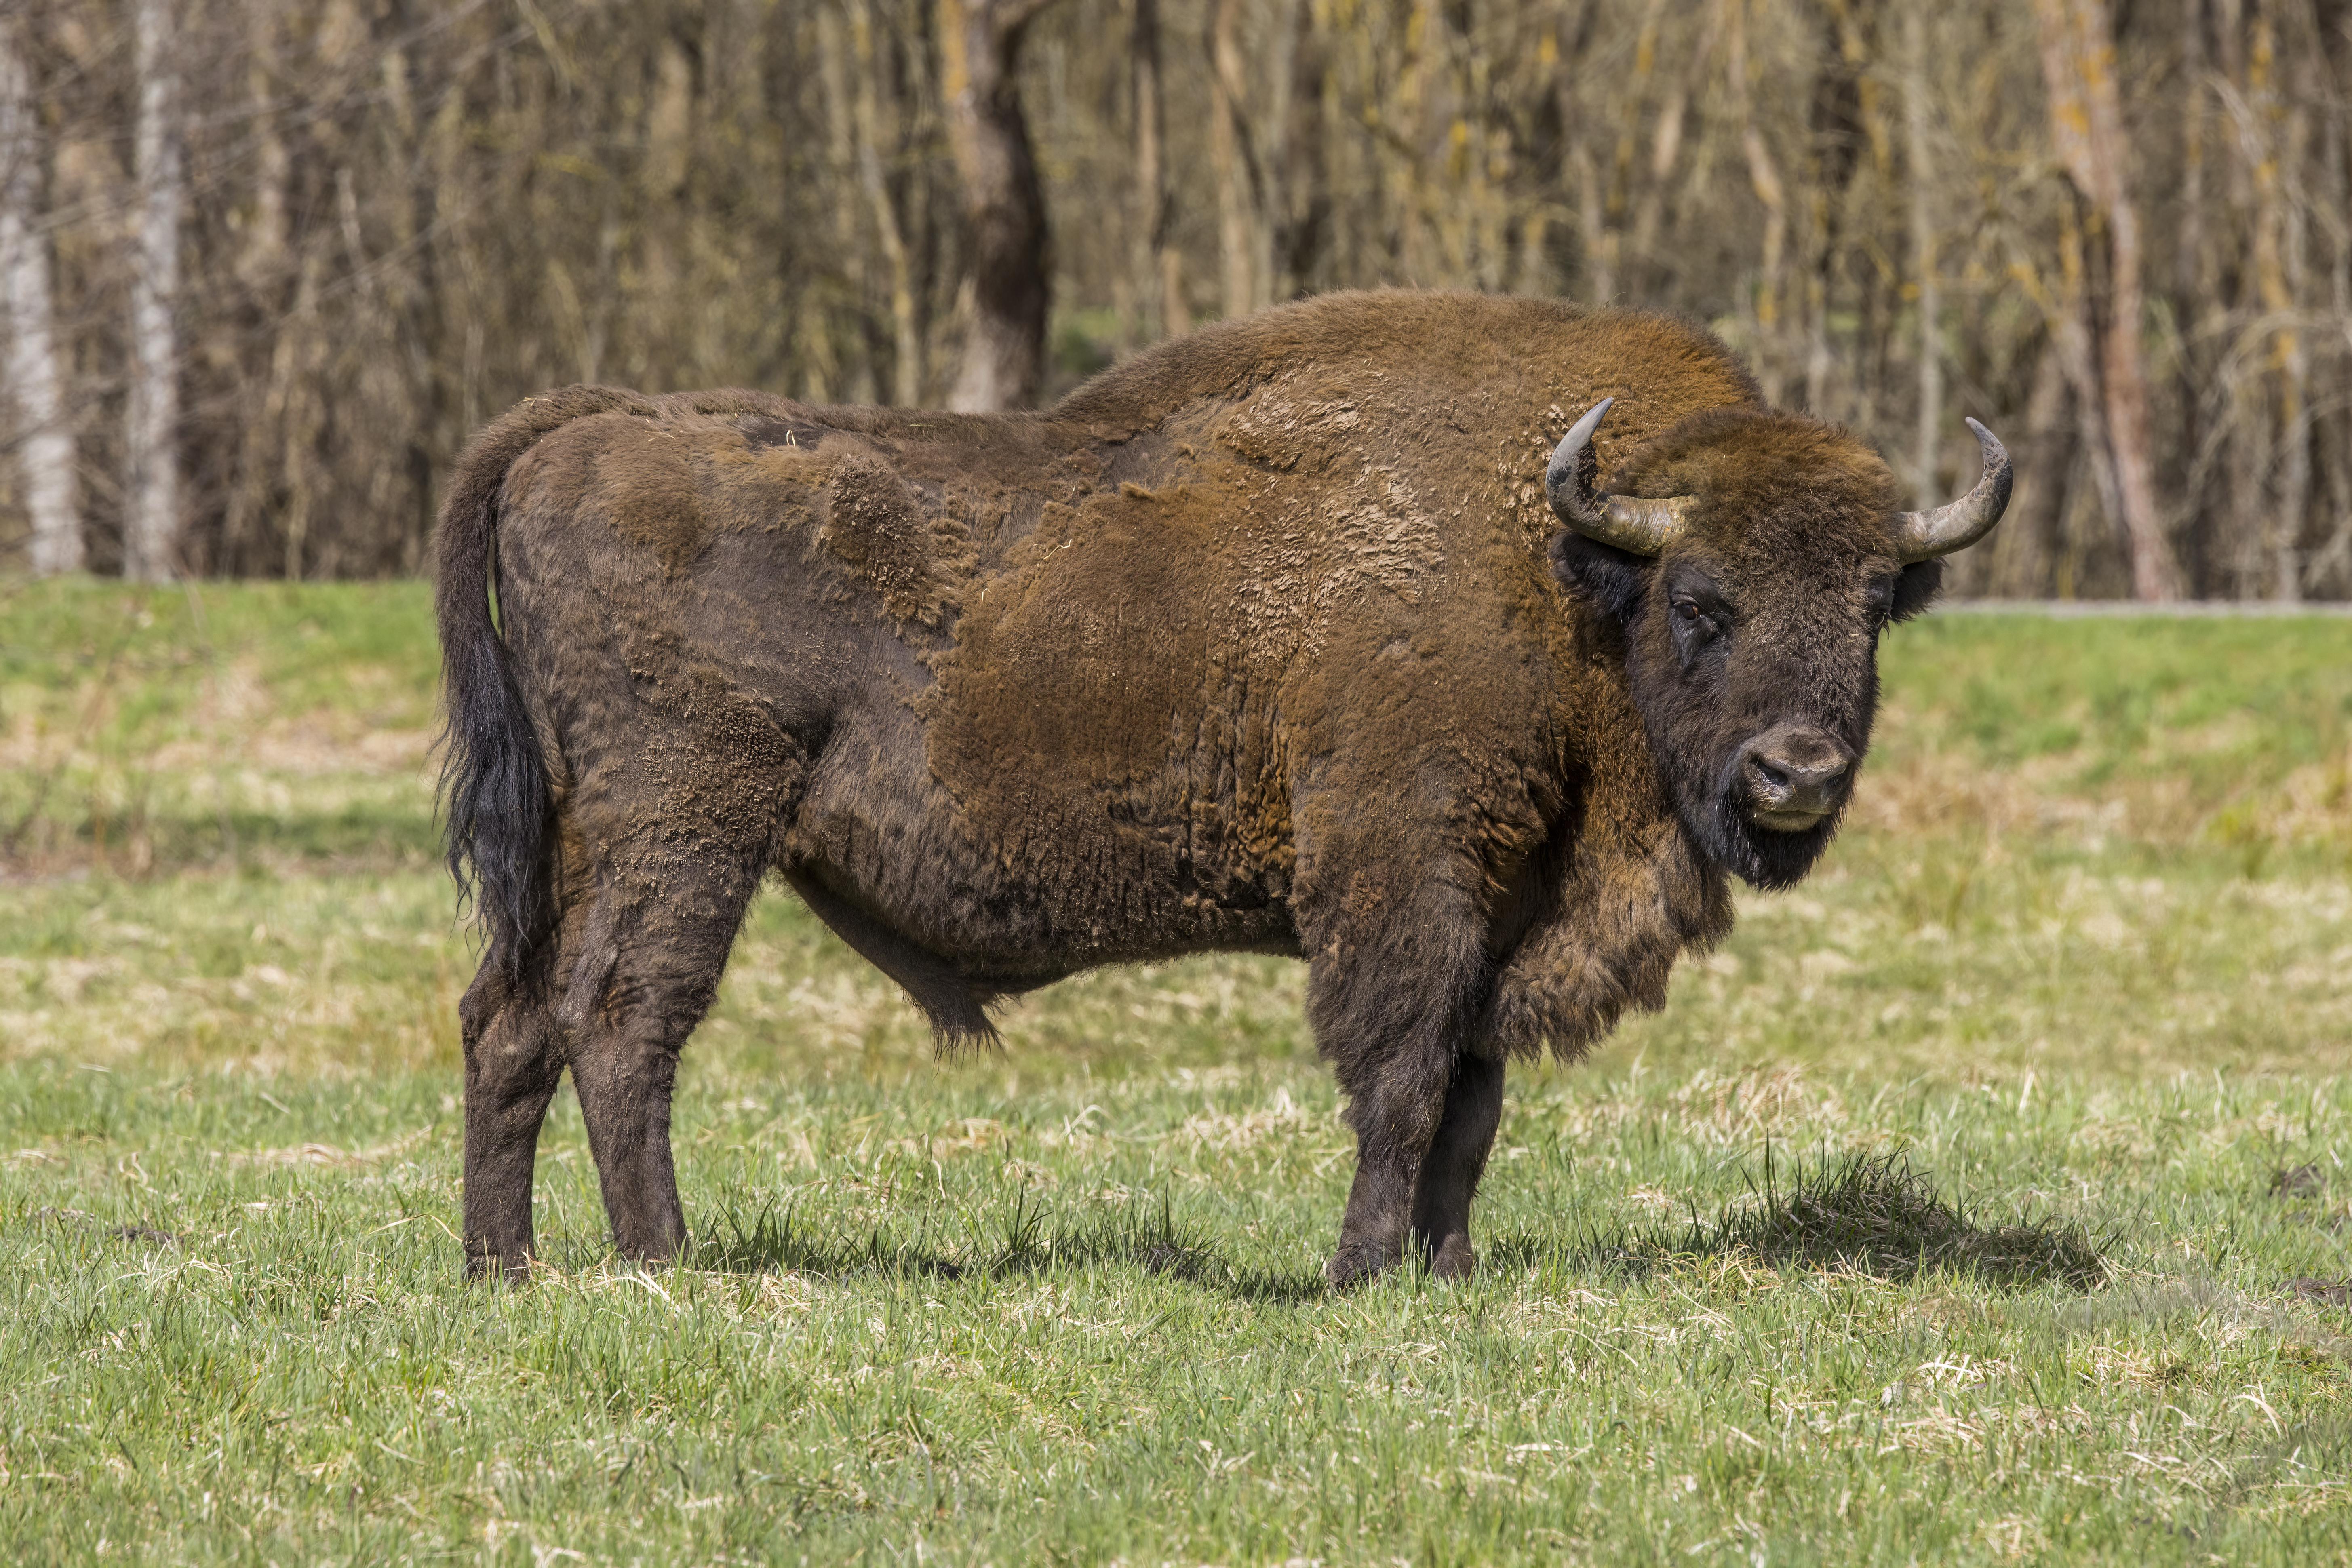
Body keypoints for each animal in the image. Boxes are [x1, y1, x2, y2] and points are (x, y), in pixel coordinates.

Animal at [437, 291, 2004, 1288]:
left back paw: (504, 1269)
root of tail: (585, 427)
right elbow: (1403, 1079)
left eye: (1876, 602)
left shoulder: (1505, 906)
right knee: (622, 1020)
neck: (1559, 565)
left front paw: (1449, 1275)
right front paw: (1360, 1274)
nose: (1797, 773)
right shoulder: (1407, 876)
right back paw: (664, 1261)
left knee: (509, 1019)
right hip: (688, 824)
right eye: (1700, 601)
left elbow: (1474, 1101)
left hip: (578, 836)